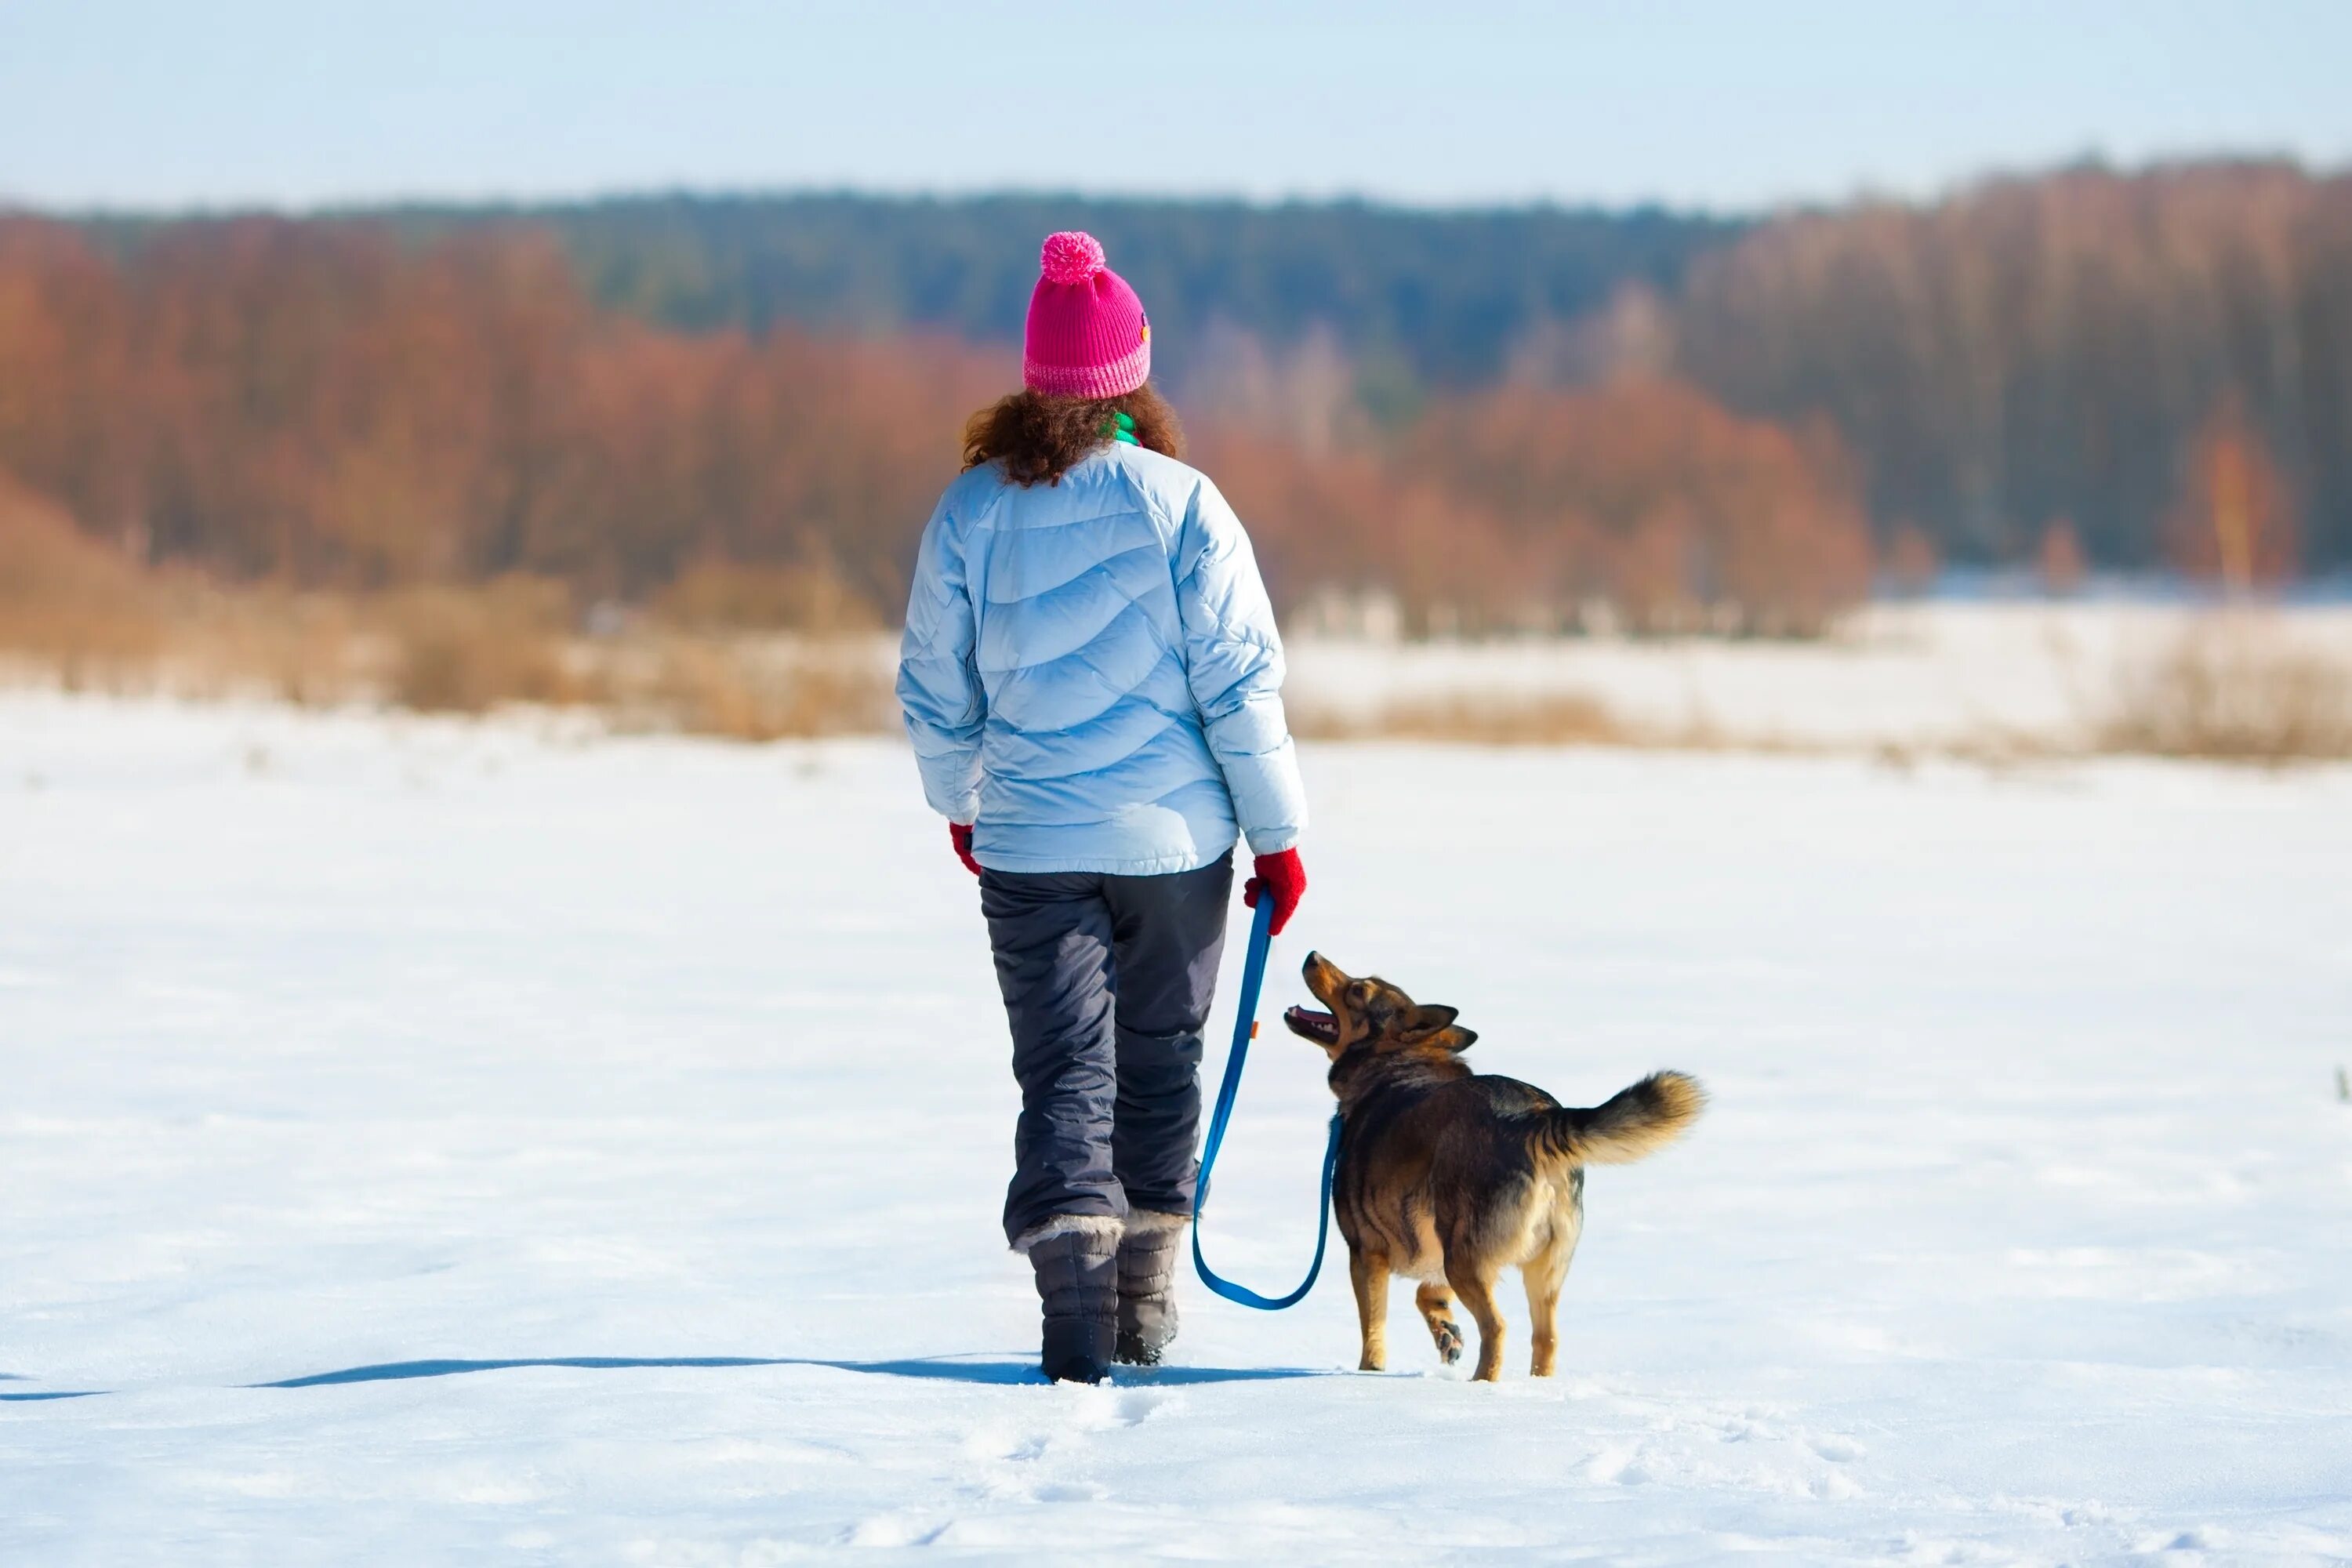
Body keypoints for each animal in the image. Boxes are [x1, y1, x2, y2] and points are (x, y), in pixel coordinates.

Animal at [1289, 949, 1712, 1382]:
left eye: (1357, 990)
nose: (1312, 955)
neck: (1395, 1063)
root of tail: (1536, 1119)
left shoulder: (1366, 1252)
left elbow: (1373, 1328)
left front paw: (1370, 1373)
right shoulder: (1433, 1249)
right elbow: (1427, 1292)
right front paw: (1446, 1332)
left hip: (1465, 1258)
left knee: (1497, 1327)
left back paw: (1482, 1385)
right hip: (1539, 1268)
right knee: (1546, 1337)